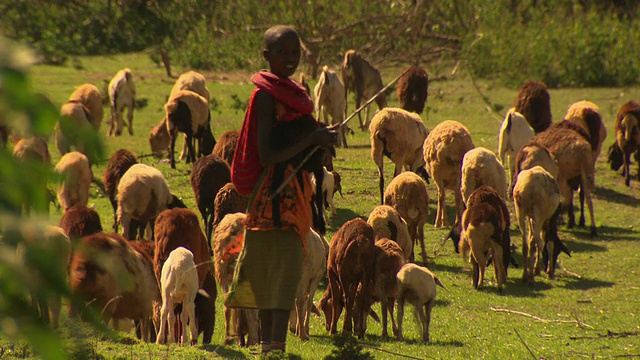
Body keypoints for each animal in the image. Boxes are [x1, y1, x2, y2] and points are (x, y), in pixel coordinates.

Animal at [154, 207, 218, 344]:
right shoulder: (188, 294)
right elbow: (185, 313)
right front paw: (185, 337)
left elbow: (174, 315)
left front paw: (174, 339)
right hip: (187, 291)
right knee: (187, 308)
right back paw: (190, 335)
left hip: (166, 289)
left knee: (164, 310)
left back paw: (161, 338)